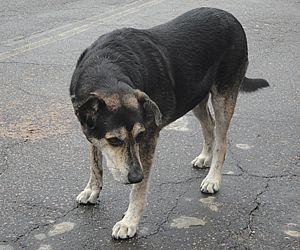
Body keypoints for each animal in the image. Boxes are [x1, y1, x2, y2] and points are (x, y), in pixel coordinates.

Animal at [69, 6, 270, 239]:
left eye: (139, 136)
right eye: (114, 141)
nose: (135, 176)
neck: (106, 67)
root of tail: (229, 16)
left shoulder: (149, 138)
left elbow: (138, 191)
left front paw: (129, 221)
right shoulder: (90, 130)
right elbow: (95, 162)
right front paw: (92, 190)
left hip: (223, 96)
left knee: (222, 139)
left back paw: (213, 178)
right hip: (194, 96)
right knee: (208, 125)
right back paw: (205, 157)